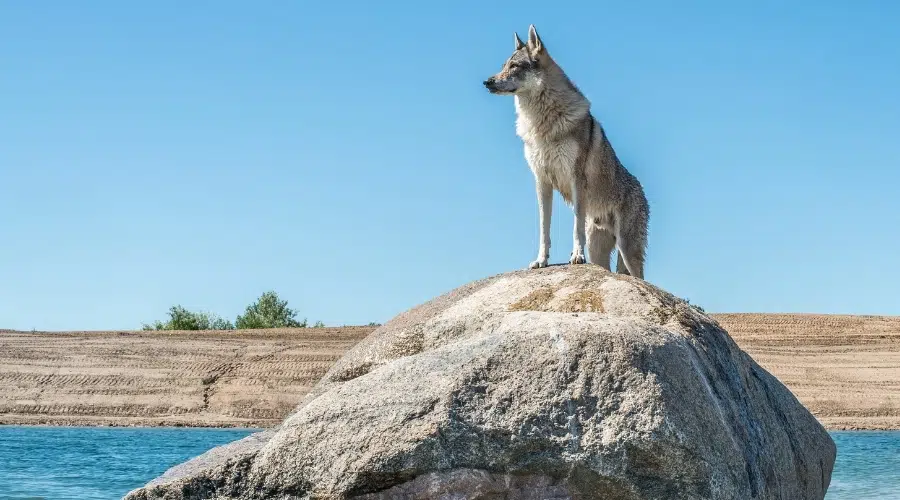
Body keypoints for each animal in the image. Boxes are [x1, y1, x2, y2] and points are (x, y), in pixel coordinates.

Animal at [482, 25, 652, 280]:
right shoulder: (541, 181)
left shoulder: (576, 179)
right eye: (504, 65)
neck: (542, 125)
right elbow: (544, 228)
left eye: (514, 66)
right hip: (599, 251)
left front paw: (576, 256)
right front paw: (541, 261)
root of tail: (642, 190)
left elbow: (575, 226)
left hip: (628, 249)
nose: (487, 82)